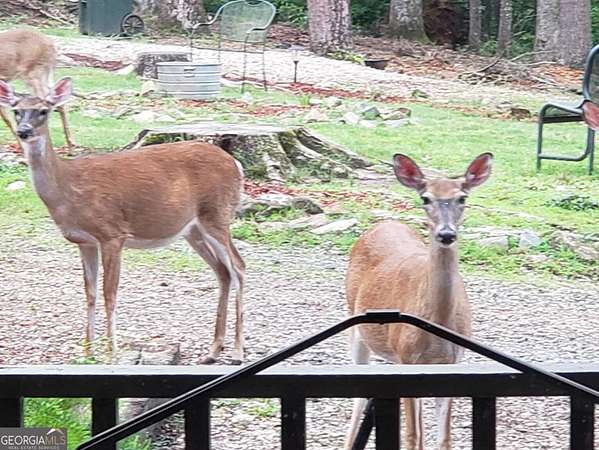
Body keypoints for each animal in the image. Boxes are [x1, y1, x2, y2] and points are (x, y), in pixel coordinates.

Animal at [0, 77, 246, 364]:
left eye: (43, 110)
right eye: (16, 110)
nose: (24, 131)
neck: (68, 188)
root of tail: (236, 164)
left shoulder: (112, 234)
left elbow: (110, 294)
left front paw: (111, 353)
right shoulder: (85, 242)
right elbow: (90, 293)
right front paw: (87, 351)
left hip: (217, 214)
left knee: (239, 267)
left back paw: (238, 351)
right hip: (193, 230)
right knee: (223, 272)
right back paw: (213, 351)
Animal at [344, 153, 493, 450]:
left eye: (462, 197)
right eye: (425, 198)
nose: (446, 234)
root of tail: (384, 222)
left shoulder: (451, 362)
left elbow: (443, 438)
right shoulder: (405, 356)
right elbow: (411, 436)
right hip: (356, 326)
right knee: (358, 398)